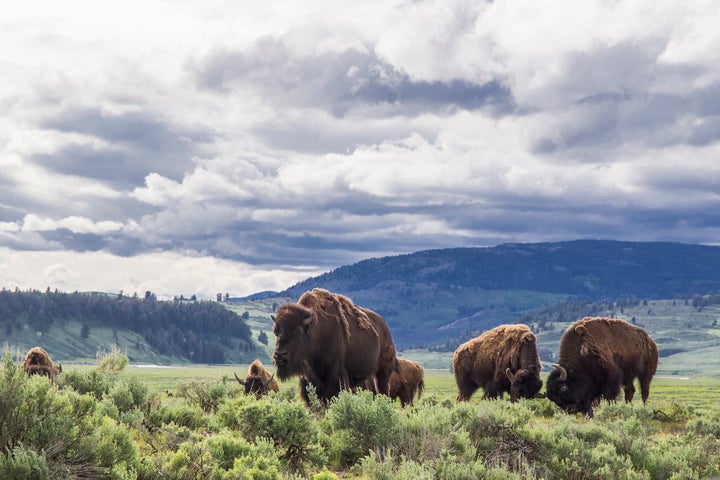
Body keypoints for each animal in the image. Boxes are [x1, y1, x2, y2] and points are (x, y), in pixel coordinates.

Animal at [272, 288, 400, 404]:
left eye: (298, 331)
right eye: (276, 331)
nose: (280, 355)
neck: (316, 331)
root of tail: (385, 327)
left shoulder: (335, 376)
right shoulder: (307, 380)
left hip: (383, 370)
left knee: (383, 389)